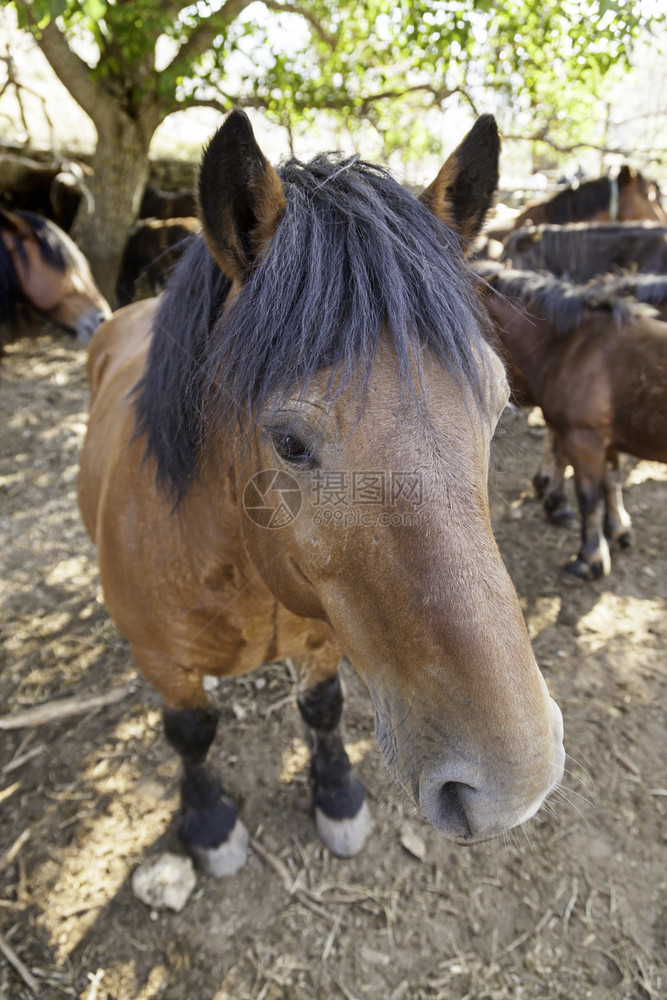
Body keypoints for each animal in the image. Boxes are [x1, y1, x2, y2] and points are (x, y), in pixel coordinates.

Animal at [78, 107, 568, 876]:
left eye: (496, 407)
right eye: (287, 441)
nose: (513, 785)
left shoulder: (327, 638)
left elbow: (323, 709)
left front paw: (336, 793)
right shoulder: (164, 664)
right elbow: (192, 731)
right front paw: (208, 820)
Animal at [478, 262, 667, 584]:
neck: (573, 346)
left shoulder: (584, 439)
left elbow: (588, 497)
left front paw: (590, 558)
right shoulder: (606, 441)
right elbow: (611, 482)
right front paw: (616, 531)